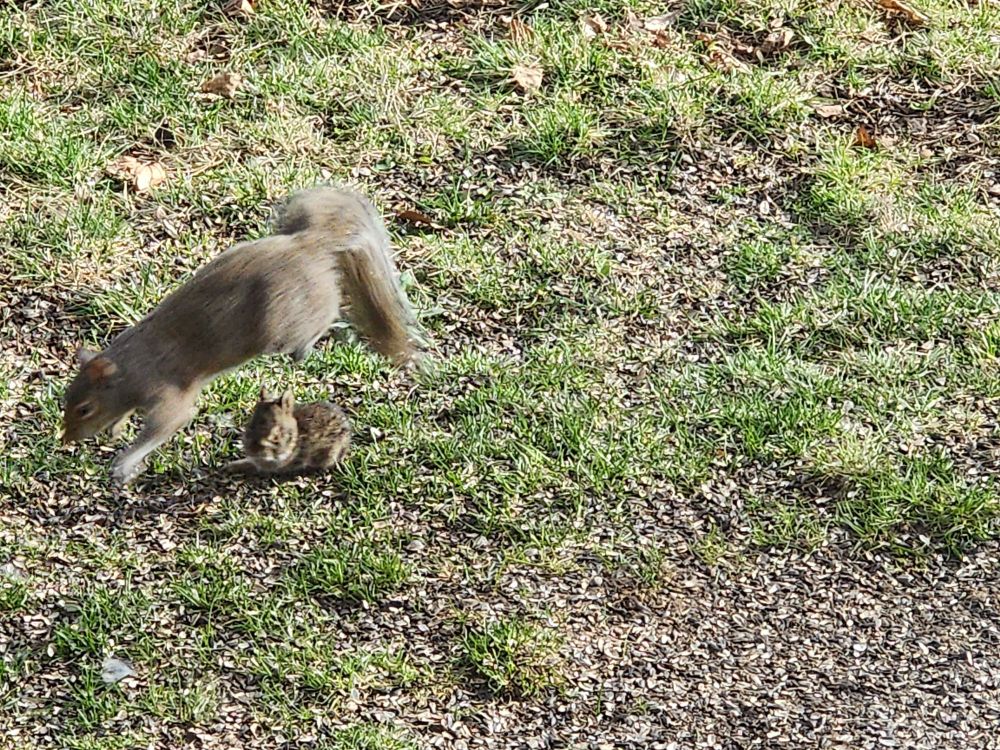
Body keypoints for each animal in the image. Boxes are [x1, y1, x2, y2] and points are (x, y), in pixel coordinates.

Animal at [61, 186, 420, 486]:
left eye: (84, 409)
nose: (66, 439)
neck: (132, 367)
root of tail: (310, 243)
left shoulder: (168, 397)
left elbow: (167, 425)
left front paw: (124, 464)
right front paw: (116, 428)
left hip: (286, 325)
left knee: (325, 315)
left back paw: (307, 346)